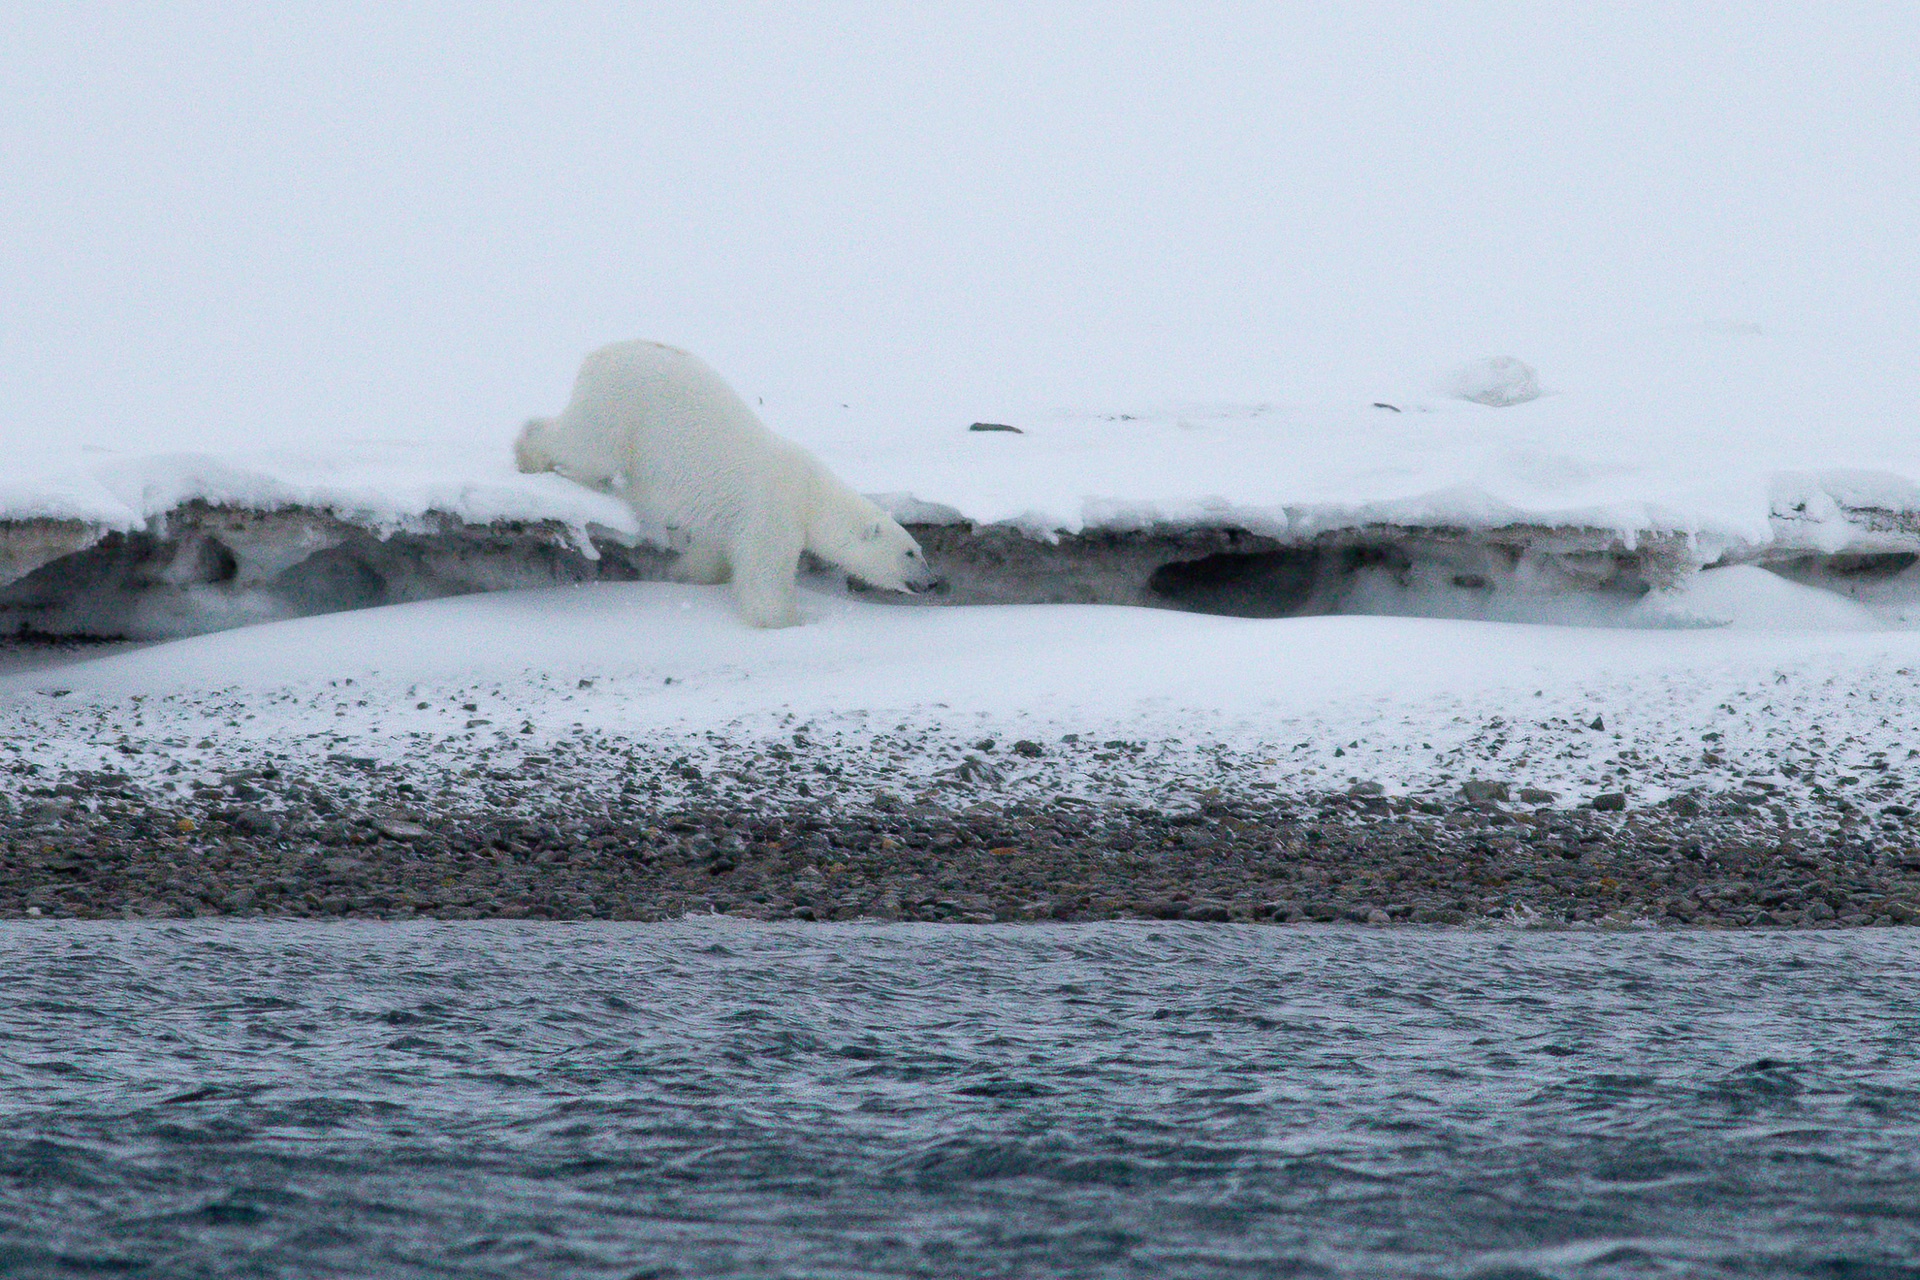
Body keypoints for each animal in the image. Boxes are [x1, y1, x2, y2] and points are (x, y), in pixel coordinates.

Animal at [516, 340, 937, 627]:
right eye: (910, 552)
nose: (932, 582)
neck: (811, 493)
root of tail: (599, 354)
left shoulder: (730, 520)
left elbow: (712, 553)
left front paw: (683, 574)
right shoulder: (772, 510)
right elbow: (763, 572)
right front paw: (787, 621)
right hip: (623, 402)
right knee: (588, 447)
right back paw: (533, 457)